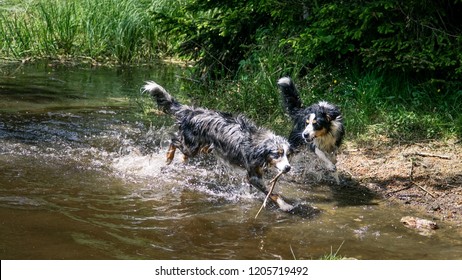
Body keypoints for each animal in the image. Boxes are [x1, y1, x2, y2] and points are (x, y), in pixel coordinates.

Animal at [141, 81, 294, 212]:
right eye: (277, 154)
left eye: (288, 155)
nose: (288, 168)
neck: (259, 147)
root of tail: (191, 111)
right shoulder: (253, 175)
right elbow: (272, 193)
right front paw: (285, 205)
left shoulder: (254, 173)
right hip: (191, 147)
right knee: (174, 140)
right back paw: (169, 157)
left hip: (201, 147)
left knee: (185, 150)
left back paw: (181, 160)